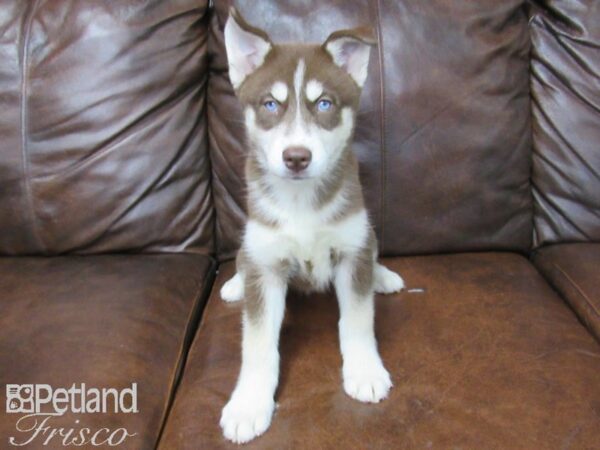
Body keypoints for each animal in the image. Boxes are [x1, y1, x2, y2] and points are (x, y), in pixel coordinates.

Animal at [218, 8, 406, 444]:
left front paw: (364, 370)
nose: (296, 157)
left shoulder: (351, 249)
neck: (300, 200)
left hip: (367, 233)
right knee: (241, 260)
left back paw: (383, 276)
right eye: (270, 103)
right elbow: (257, 343)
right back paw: (234, 283)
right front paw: (249, 403)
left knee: (374, 251)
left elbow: (358, 319)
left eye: (324, 103)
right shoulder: (267, 264)